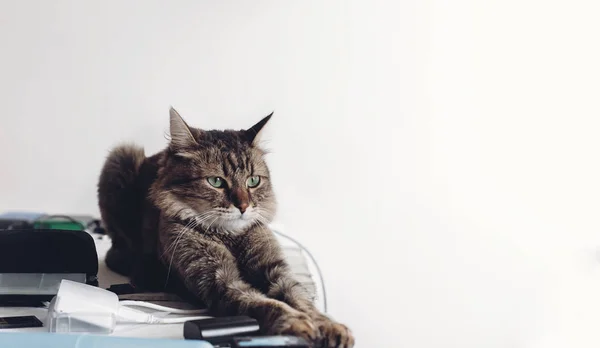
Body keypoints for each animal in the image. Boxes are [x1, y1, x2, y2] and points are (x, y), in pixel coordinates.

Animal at [96, 107, 354, 346]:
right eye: (216, 182)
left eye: (253, 181)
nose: (243, 206)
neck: (229, 236)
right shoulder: (219, 280)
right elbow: (264, 303)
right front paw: (298, 322)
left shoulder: (276, 271)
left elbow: (301, 299)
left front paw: (329, 326)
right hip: (121, 157)